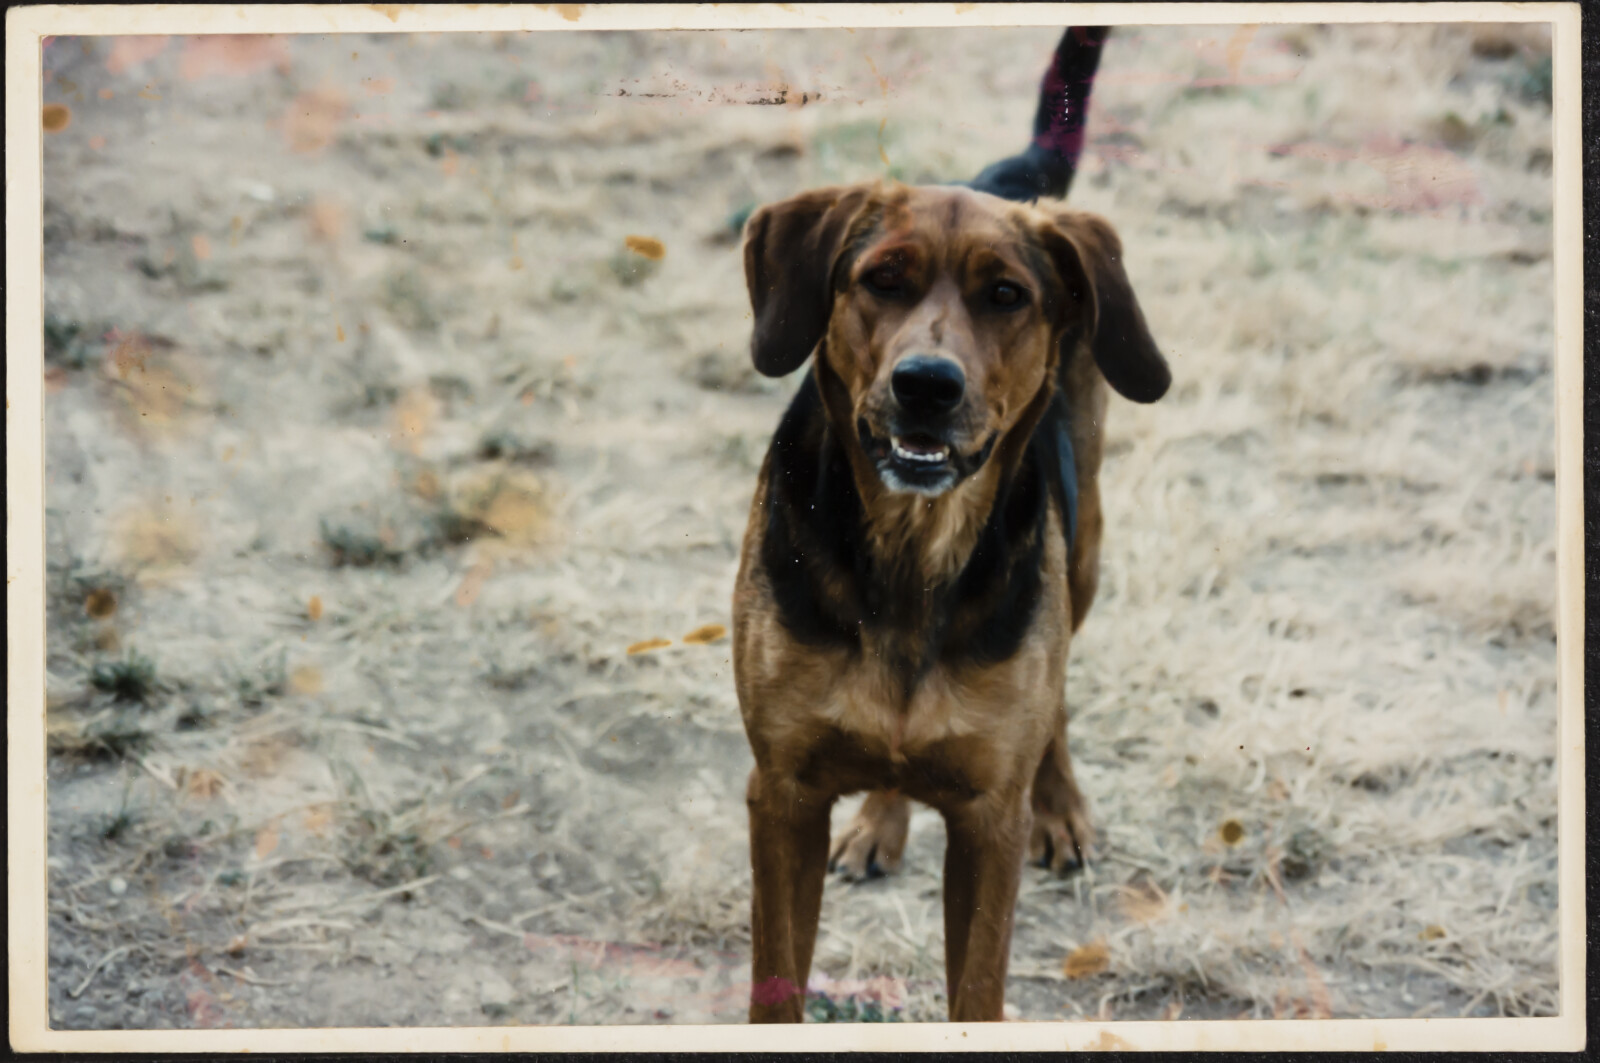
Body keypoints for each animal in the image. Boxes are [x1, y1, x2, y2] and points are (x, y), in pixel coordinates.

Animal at [732, 27, 1171, 1024]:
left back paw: (1062, 803)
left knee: (1058, 690)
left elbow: (977, 986)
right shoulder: (781, 795)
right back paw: (881, 816)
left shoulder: (986, 823)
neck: (910, 550)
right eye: (881, 280)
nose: (926, 385)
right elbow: (777, 982)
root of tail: (1005, 177)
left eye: (1007, 295)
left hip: (1084, 553)